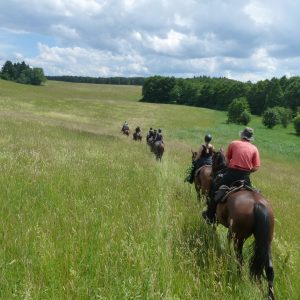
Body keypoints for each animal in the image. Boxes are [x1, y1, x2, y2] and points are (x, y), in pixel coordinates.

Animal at [210, 151, 276, 298]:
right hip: (266, 241)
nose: (211, 174)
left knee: (240, 259)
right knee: (269, 268)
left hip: (238, 238)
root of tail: (257, 204)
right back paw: (270, 295)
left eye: (213, 160)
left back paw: (239, 279)